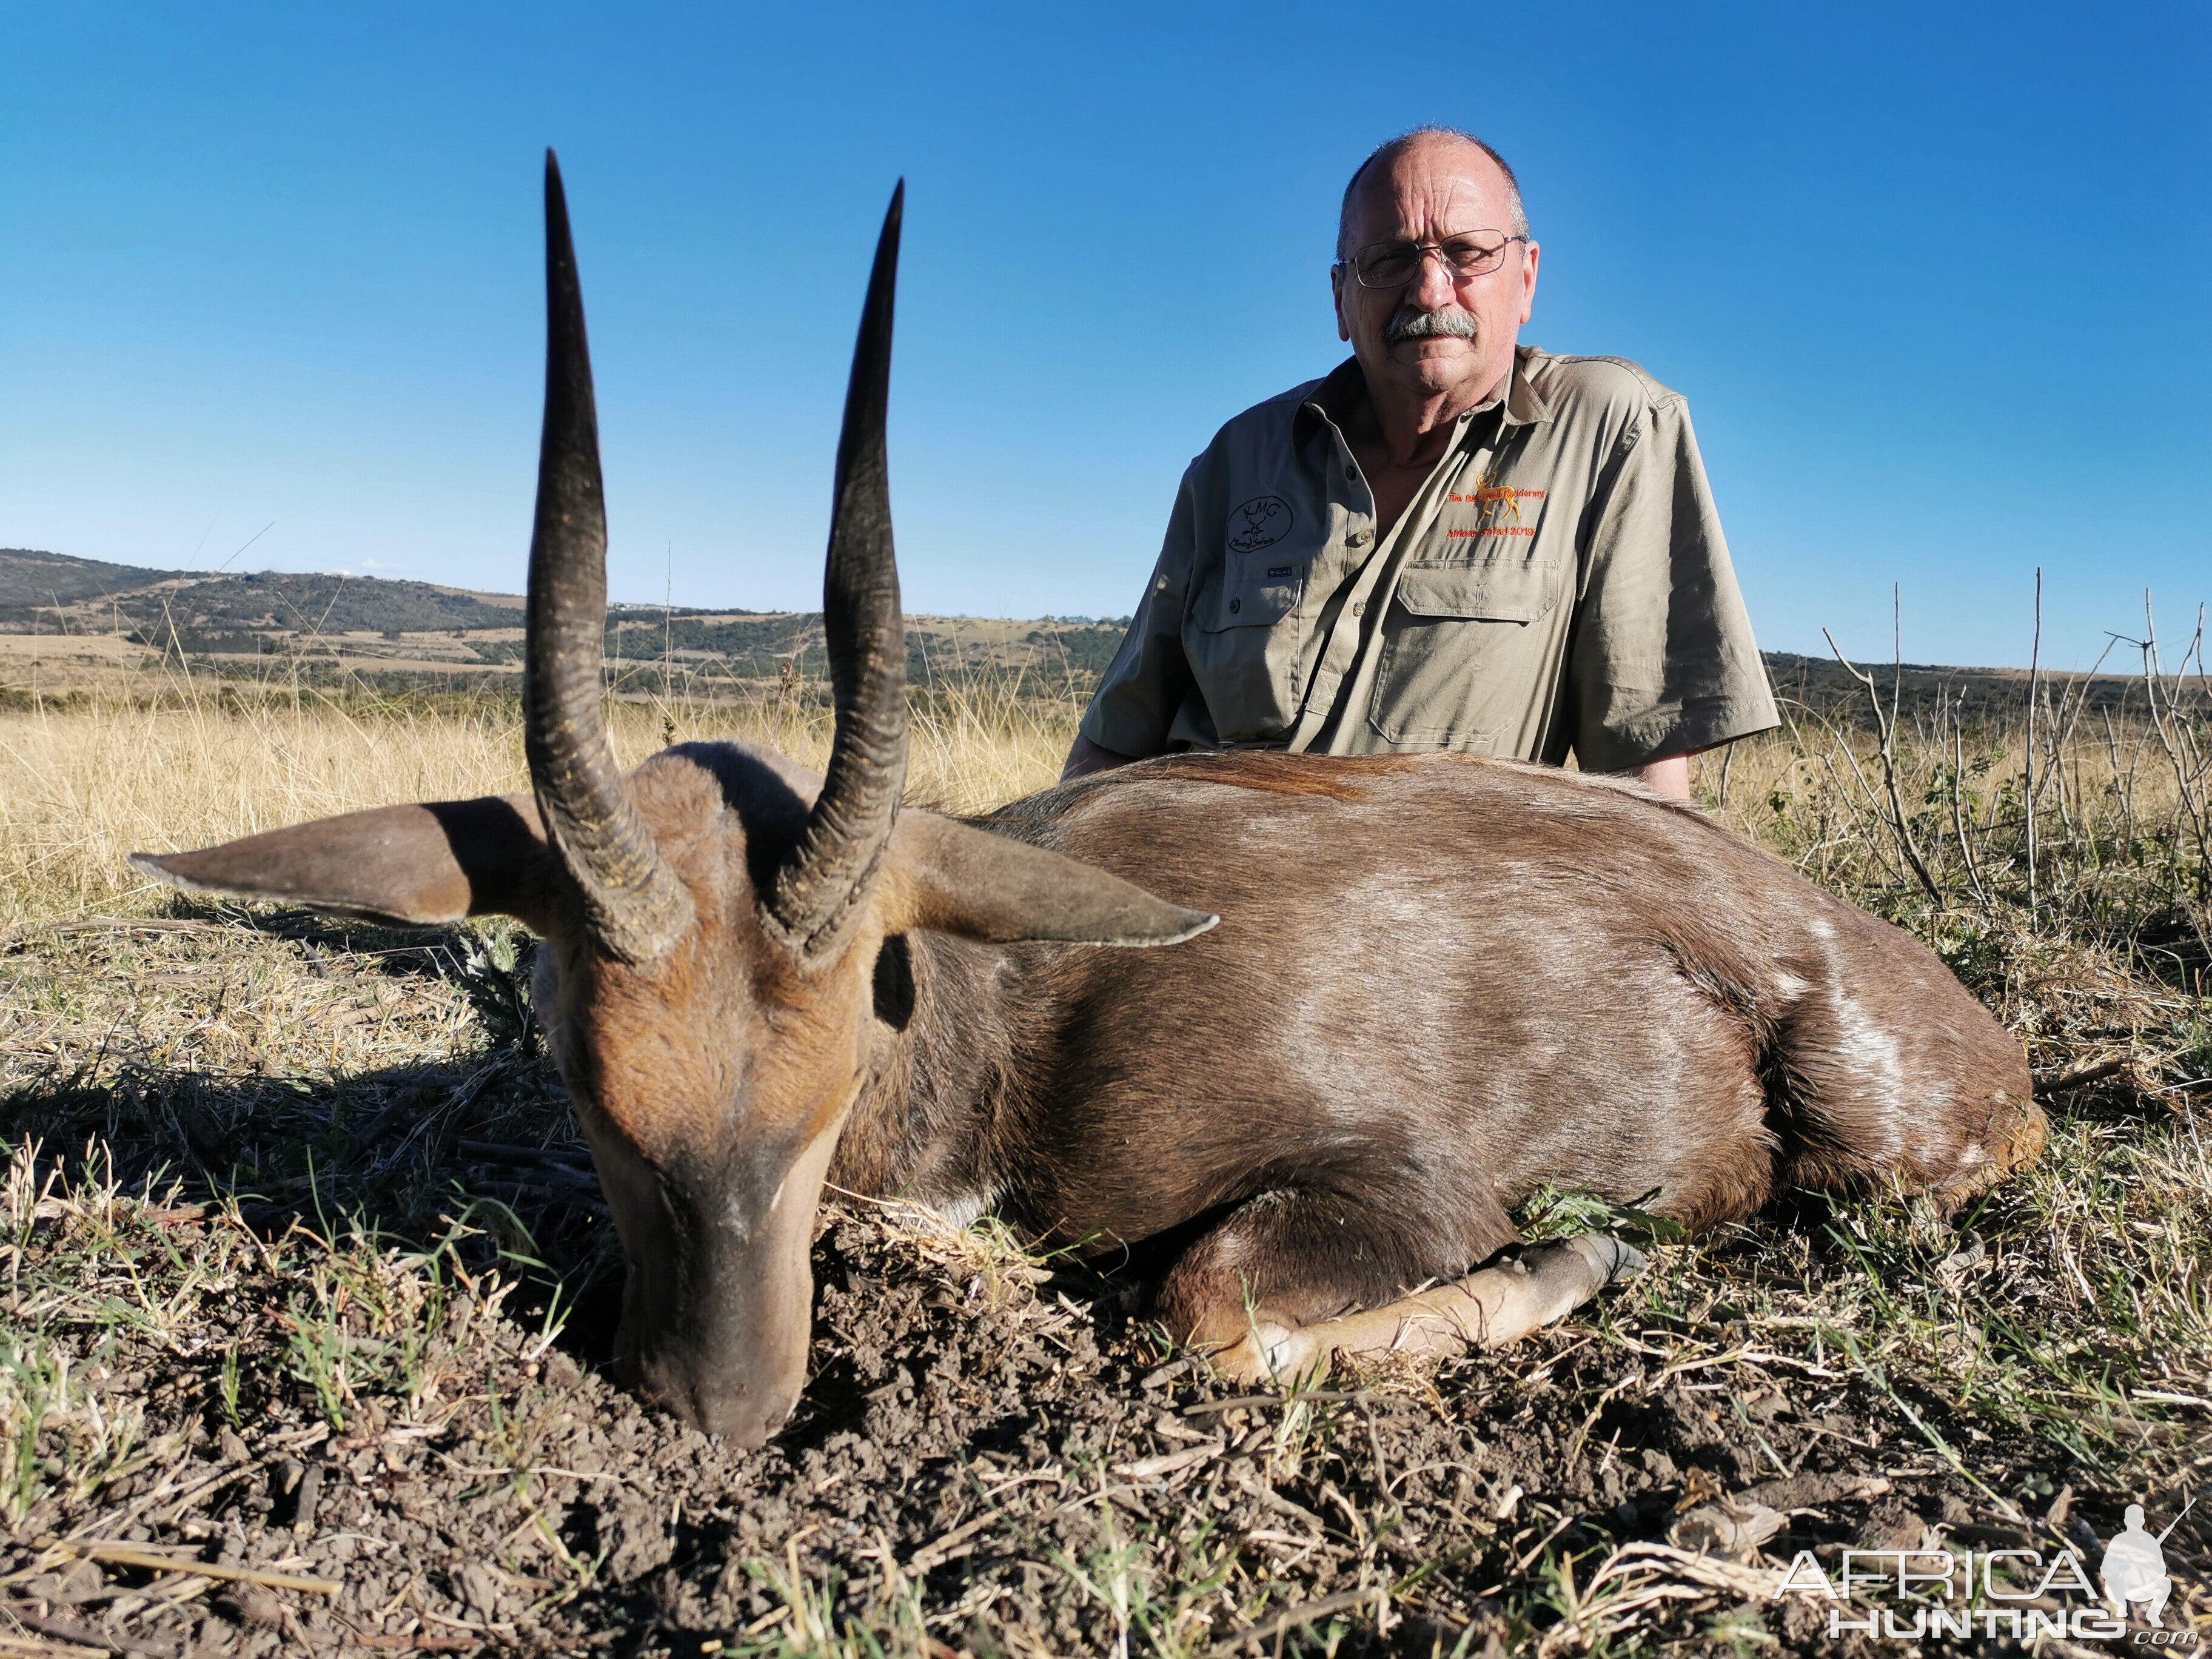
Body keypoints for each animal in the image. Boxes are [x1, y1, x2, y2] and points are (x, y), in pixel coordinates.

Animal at [133, 163, 2035, 1451]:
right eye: (590, 1090)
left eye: (832, 1091)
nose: (725, 1405)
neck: (1002, 1022)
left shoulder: (1406, 1183)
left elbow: (1204, 1308)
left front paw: (1592, 1265)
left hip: (1880, 1156)